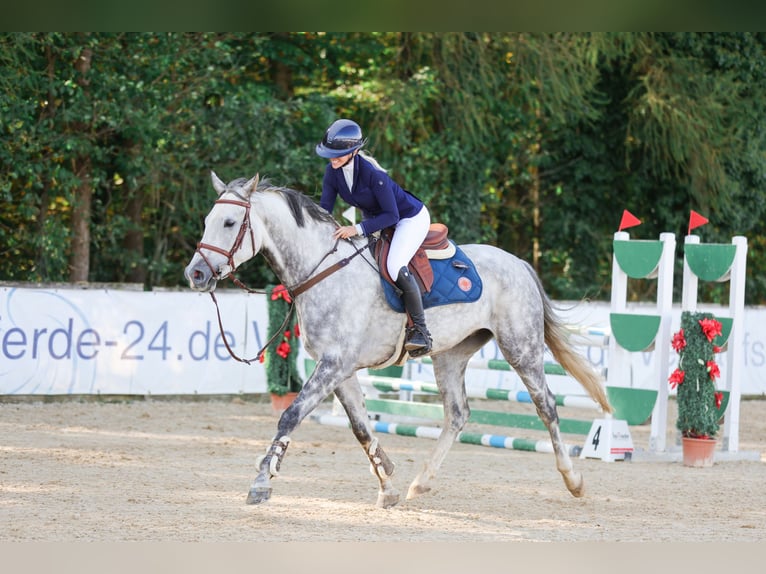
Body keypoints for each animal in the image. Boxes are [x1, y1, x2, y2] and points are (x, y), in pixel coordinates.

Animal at [184, 173, 612, 510]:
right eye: (206, 221)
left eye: (229, 222)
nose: (196, 274)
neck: (323, 270)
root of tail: (519, 262)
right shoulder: (341, 370)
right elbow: (361, 428)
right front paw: (387, 485)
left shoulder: (334, 365)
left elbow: (290, 416)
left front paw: (261, 481)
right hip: (450, 355)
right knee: (458, 414)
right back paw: (420, 482)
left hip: (520, 347)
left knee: (546, 406)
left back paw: (573, 480)